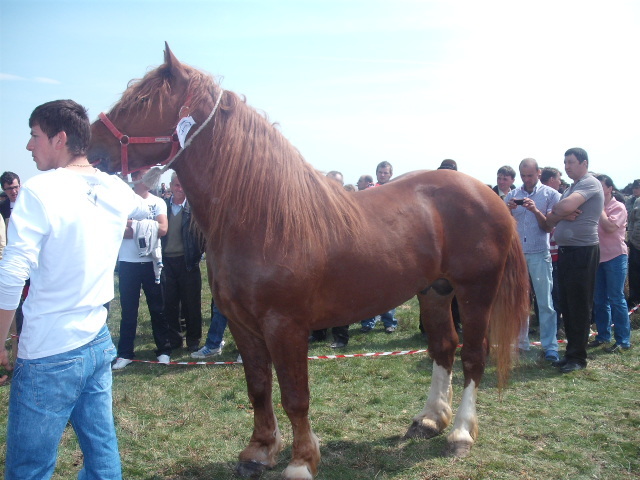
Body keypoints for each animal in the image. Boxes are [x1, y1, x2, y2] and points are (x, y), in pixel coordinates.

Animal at [90, 45, 528, 480]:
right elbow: (259, 389)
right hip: (435, 292)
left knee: (473, 355)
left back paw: (460, 434)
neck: (262, 217)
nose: (92, 145)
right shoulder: (242, 325)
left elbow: (295, 396)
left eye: (142, 101)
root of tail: (489, 195)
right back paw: (430, 419)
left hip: (475, 294)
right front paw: (259, 451)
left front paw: (301, 461)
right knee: (443, 347)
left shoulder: (285, 326)